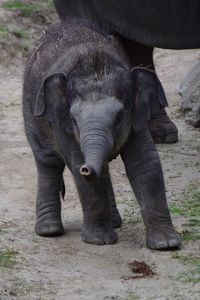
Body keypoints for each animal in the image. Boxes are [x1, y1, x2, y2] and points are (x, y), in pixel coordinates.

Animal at [22, 21, 180, 250]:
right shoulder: (62, 124)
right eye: (74, 119)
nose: (87, 169)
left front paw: (166, 244)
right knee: (48, 162)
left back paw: (114, 221)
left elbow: (145, 163)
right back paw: (49, 231)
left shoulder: (137, 117)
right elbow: (76, 163)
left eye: (119, 117)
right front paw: (99, 241)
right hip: (32, 113)